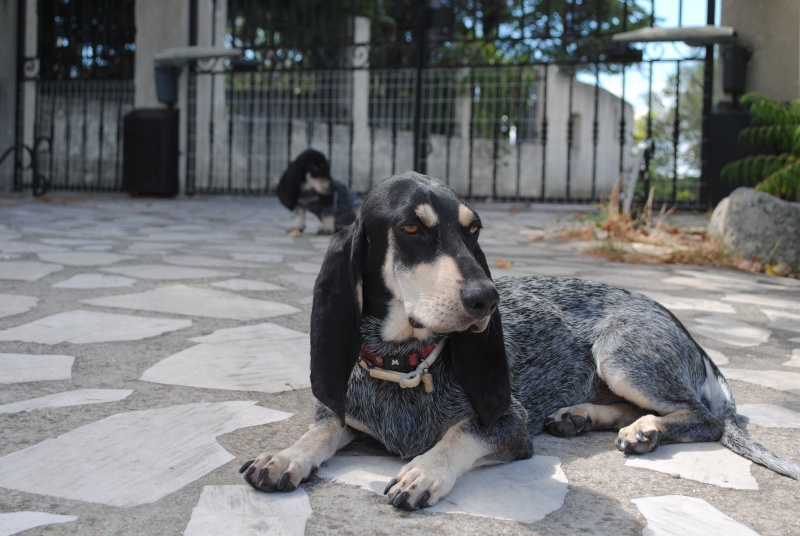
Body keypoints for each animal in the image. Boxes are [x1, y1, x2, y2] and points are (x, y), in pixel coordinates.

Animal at [244, 172, 800, 510]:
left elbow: (458, 436)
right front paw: (284, 457)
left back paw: (646, 429)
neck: (407, 364)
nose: (487, 299)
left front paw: (423, 471)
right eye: (411, 229)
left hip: (620, 354)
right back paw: (587, 417)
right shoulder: (343, 412)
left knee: (706, 418)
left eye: (473, 230)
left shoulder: (509, 423)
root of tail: (687, 332)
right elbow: (319, 430)